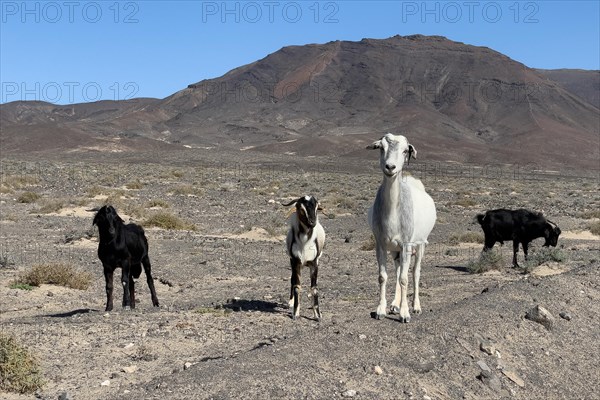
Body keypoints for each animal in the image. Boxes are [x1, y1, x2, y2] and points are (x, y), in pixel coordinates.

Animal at [366, 134, 436, 322]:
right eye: (381, 147)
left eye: (405, 150)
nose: (390, 167)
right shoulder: (381, 245)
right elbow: (383, 277)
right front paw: (381, 310)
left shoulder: (406, 245)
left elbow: (405, 278)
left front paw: (405, 313)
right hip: (395, 250)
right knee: (398, 271)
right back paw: (395, 304)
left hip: (420, 245)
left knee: (415, 273)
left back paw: (416, 306)